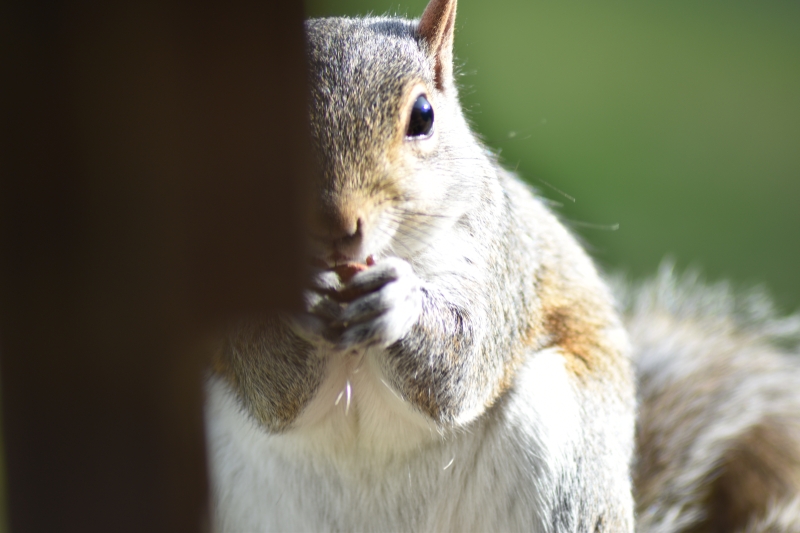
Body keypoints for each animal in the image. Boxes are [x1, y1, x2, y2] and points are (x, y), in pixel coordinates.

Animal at [205, 0, 800, 528]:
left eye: (423, 116)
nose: (337, 228)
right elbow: (269, 388)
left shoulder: (497, 260)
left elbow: (463, 367)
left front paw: (399, 300)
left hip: (562, 449)